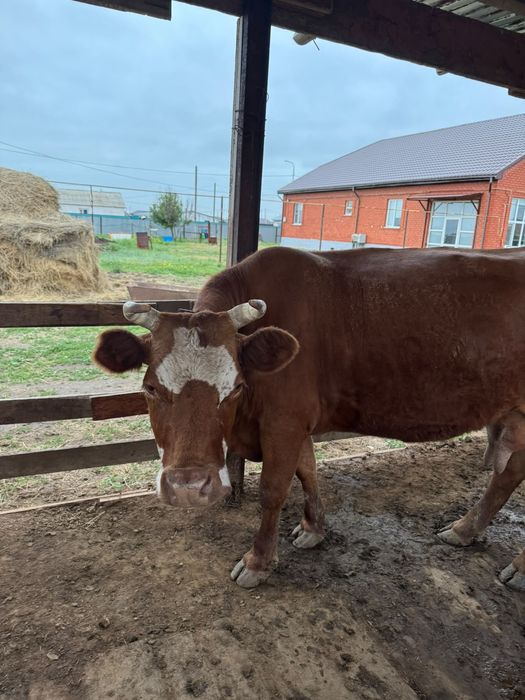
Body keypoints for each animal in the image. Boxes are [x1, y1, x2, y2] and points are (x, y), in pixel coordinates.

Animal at [94, 246, 525, 591]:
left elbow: (273, 490)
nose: (188, 487)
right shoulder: (295, 422)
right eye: (150, 387)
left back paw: (516, 568)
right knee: (508, 474)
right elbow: (308, 469)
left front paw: (258, 562)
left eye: (235, 387)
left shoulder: (284, 420)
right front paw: (314, 528)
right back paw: (465, 529)